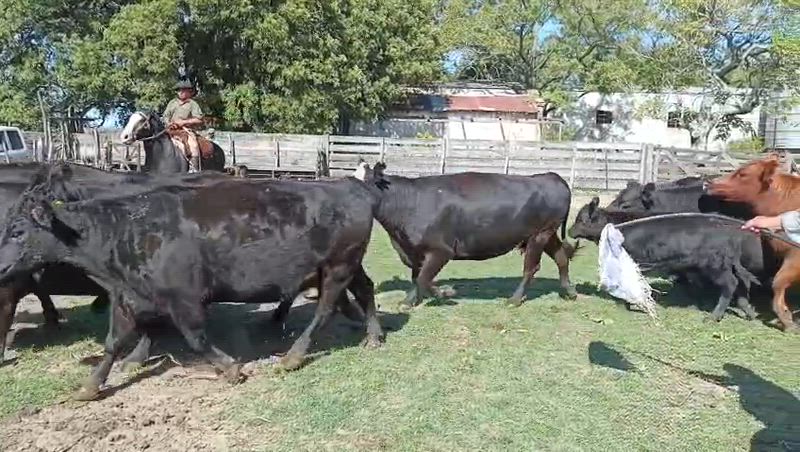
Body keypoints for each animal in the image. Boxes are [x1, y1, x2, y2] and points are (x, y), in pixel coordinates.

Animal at [0, 165, 383, 400]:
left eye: (18, 231)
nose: (1, 266)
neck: (125, 229)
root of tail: (349, 185)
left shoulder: (184, 299)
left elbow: (196, 338)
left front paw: (230, 368)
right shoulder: (127, 297)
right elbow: (112, 343)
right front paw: (90, 386)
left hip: (337, 267)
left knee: (325, 309)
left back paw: (293, 355)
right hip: (347, 266)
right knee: (365, 290)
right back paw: (374, 336)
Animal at [354, 161, 578, 308]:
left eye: (361, 185)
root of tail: (550, 176)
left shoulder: (441, 250)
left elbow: (423, 277)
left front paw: (412, 301)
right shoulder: (412, 251)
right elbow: (420, 276)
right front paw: (436, 294)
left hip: (539, 235)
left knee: (531, 268)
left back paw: (514, 300)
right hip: (547, 234)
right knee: (561, 257)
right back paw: (570, 292)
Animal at [569, 198, 764, 322]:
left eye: (581, 219)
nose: (570, 231)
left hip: (715, 265)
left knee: (731, 284)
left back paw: (713, 316)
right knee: (741, 284)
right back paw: (749, 313)